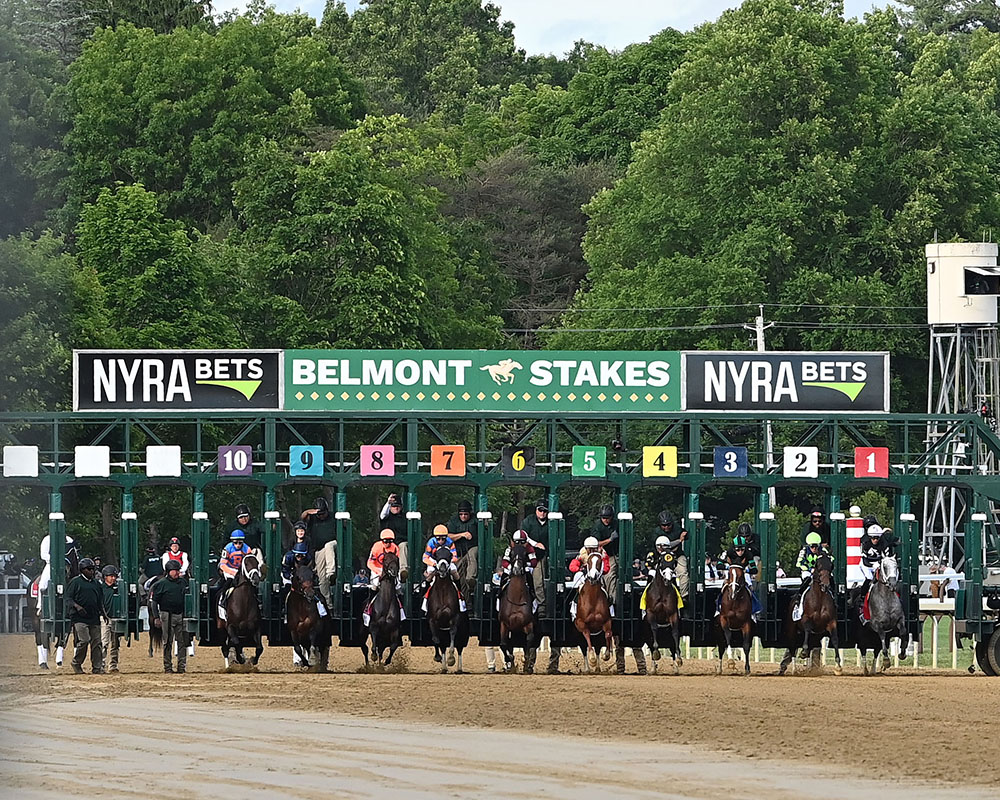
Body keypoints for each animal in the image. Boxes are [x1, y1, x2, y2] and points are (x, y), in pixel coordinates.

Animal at [496, 540, 536, 672]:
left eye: (525, 554)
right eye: (512, 553)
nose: (517, 569)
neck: (516, 598)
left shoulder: (528, 623)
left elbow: (529, 640)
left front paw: (526, 664)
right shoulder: (504, 624)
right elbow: (504, 645)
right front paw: (510, 663)